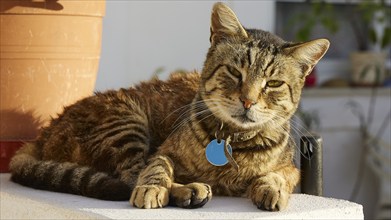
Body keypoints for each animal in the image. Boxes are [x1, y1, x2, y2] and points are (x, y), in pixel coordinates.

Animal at [9, 2, 330, 211]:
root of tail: (43, 134)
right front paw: (153, 188)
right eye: (234, 72)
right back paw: (188, 190)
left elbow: (278, 175)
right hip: (127, 121)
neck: (233, 143)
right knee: (129, 176)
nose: (247, 100)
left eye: (273, 83)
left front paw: (270, 187)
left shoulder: (291, 169)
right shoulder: (163, 151)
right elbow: (156, 167)